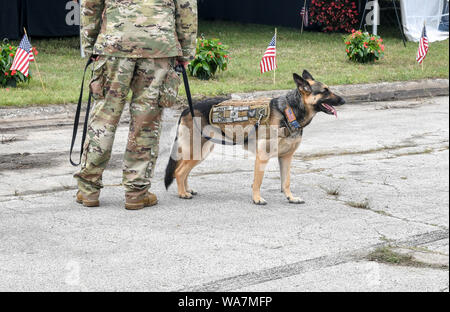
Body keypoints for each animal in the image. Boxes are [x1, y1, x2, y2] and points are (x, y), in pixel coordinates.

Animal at [164, 72, 344, 206]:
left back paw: (187, 189)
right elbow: (258, 181)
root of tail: (187, 108)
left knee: (183, 170)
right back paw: (182, 194)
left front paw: (291, 197)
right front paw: (257, 199)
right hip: (197, 152)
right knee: (179, 171)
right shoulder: (262, 157)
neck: (289, 112)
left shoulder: (286, 157)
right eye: (325, 91)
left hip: (201, 152)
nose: (343, 100)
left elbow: (286, 181)